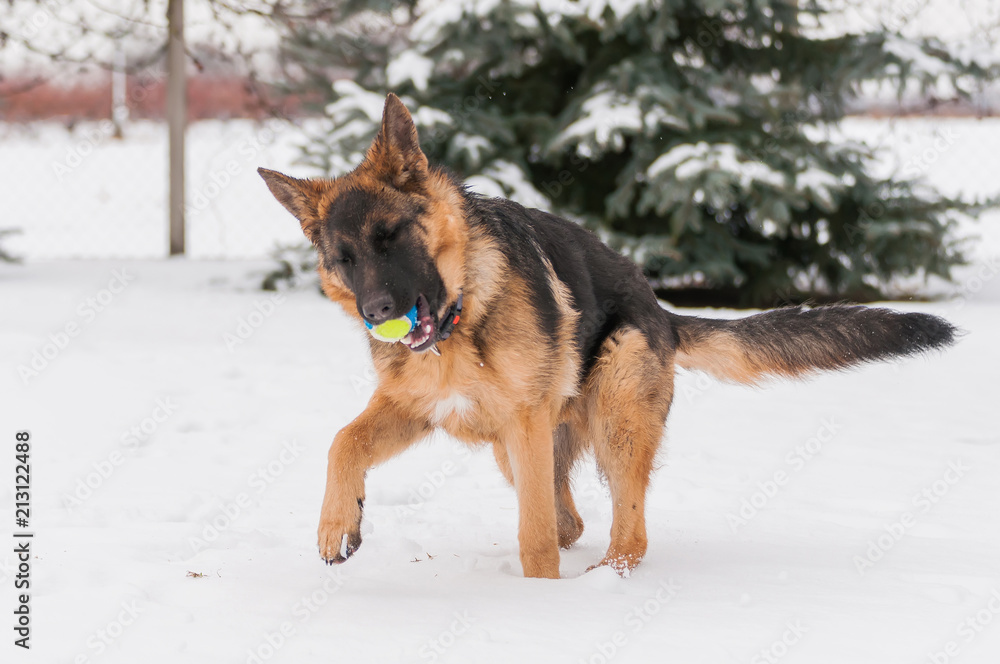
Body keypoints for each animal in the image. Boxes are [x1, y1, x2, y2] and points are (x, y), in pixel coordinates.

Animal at [262, 96, 956, 580]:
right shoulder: (417, 409)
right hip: (515, 449)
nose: (377, 310)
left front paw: (538, 601)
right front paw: (337, 524)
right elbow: (342, 442)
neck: (464, 313)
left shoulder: (522, 423)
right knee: (570, 520)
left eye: (392, 237)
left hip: (613, 408)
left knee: (624, 530)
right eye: (345, 259)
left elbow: (537, 538)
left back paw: (606, 583)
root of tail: (660, 308)